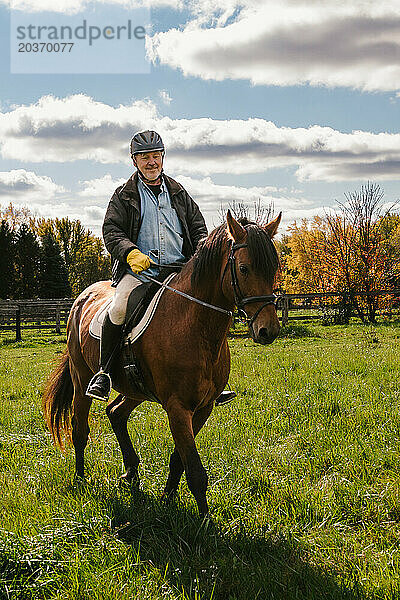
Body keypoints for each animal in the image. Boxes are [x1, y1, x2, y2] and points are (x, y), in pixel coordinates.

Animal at [43, 209, 282, 512]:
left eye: (274, 268)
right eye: (244, 269)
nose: (268, 330)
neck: (195, 325)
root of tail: (81, 298)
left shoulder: (203, 408)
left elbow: (179, 459)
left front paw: (168, 498)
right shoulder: (177, 408)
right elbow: (195, 471)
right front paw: (204, 521)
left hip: (135, 389)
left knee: (115, 413)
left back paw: (131, 472)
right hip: (81, 378)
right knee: (80, 429)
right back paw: (80, 479)